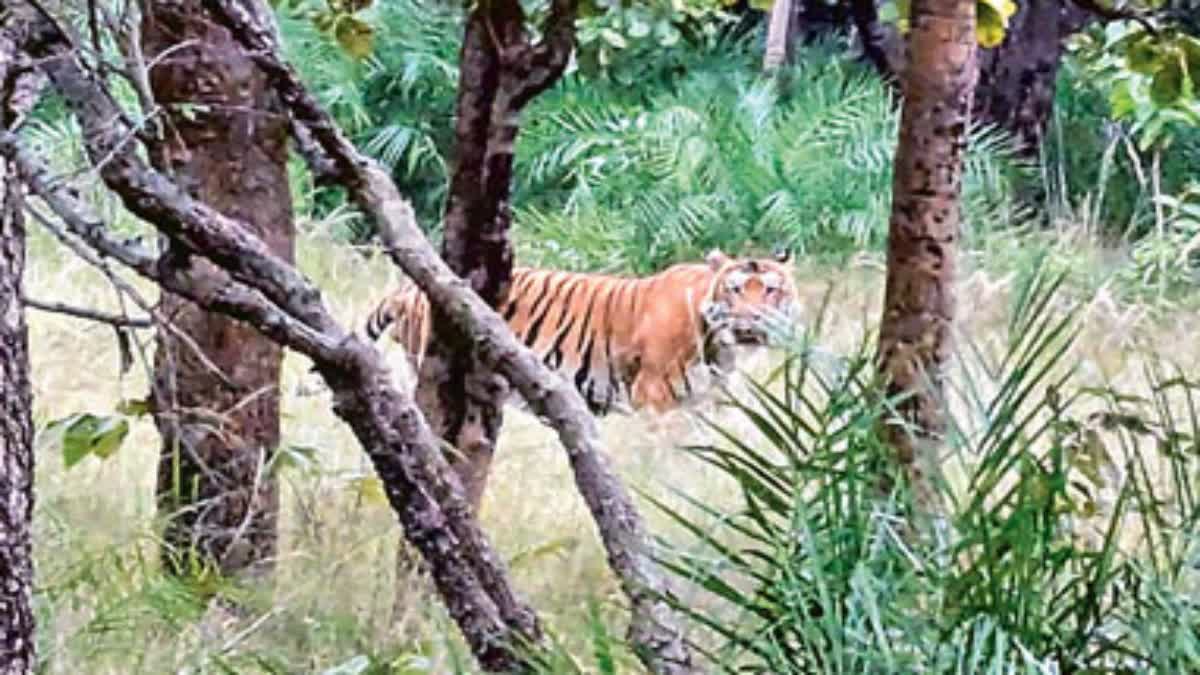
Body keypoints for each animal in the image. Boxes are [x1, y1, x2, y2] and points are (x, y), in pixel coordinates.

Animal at [364, 248, 796, 413]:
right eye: (734, 290)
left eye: (770, 290)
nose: (749, 322)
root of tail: (407, 290)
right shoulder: (654, 395)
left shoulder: (703, 402)